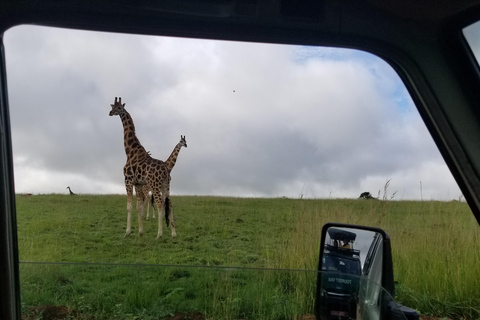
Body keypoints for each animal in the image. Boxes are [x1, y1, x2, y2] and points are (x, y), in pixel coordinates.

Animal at [109, 96, 182, 239]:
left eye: (119, 108)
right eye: (112, 106)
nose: (110, 113)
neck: (130, 151)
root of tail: (166, 169)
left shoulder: (127, 180)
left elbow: (129, 206)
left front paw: (127, 232)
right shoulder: (138, 183)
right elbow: (139, 207)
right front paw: (140, 232)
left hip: (154, 185)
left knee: (160, 203)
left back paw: (159, 234)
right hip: (165, 185)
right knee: (169, 203)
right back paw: (173, 233)